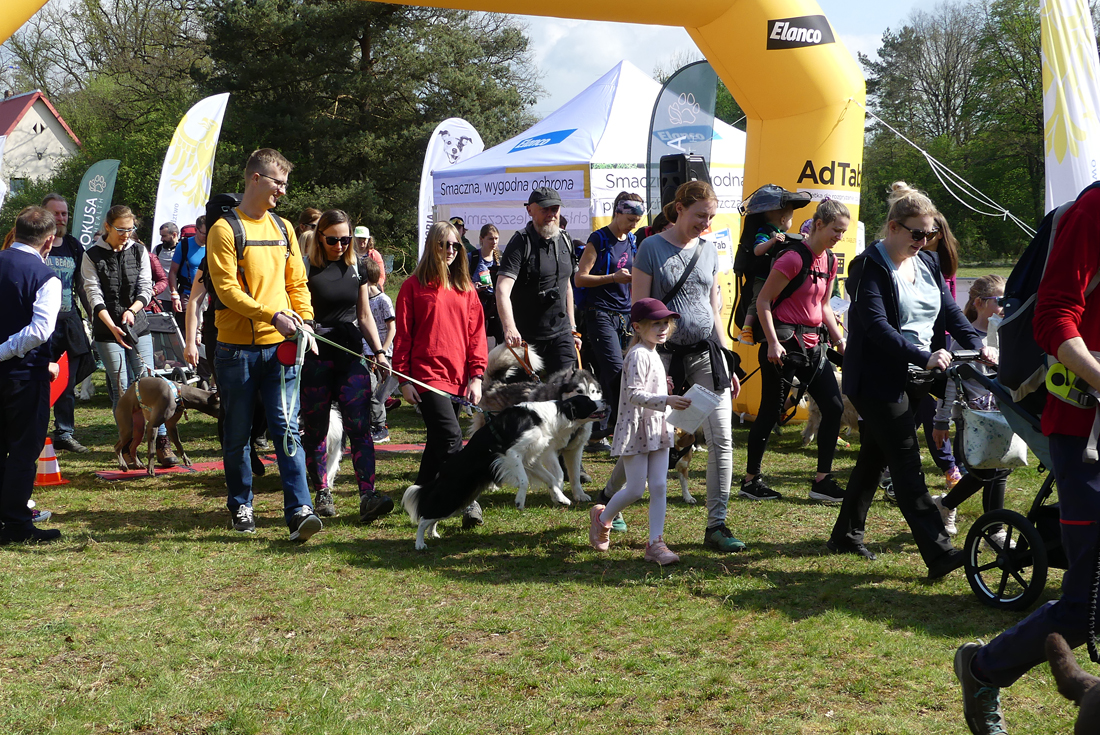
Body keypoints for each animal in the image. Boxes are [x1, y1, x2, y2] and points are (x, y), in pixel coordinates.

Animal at [402, 396, 605, 549]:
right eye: (589, 401)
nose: (605, 401)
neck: (547, 417)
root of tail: (442, 472)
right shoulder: (511, 453)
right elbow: (524, 480)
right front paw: (520, 501)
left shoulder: (530, 459)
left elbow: (552, 479)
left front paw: (561, 498)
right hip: (453, 496)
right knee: (424, 517)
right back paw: (419, 544)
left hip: (460, 499)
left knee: (432, 516)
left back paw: (433, 534)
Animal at [476, 344, 603, 507]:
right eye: (579, 391)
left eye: (593, 391)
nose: (597, 406)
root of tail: (495, 385)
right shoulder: (548, 451)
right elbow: (558, 473)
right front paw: (557, 492)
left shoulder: (575, 449)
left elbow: (574, 475)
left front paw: (578, 494)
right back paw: (493, 485)